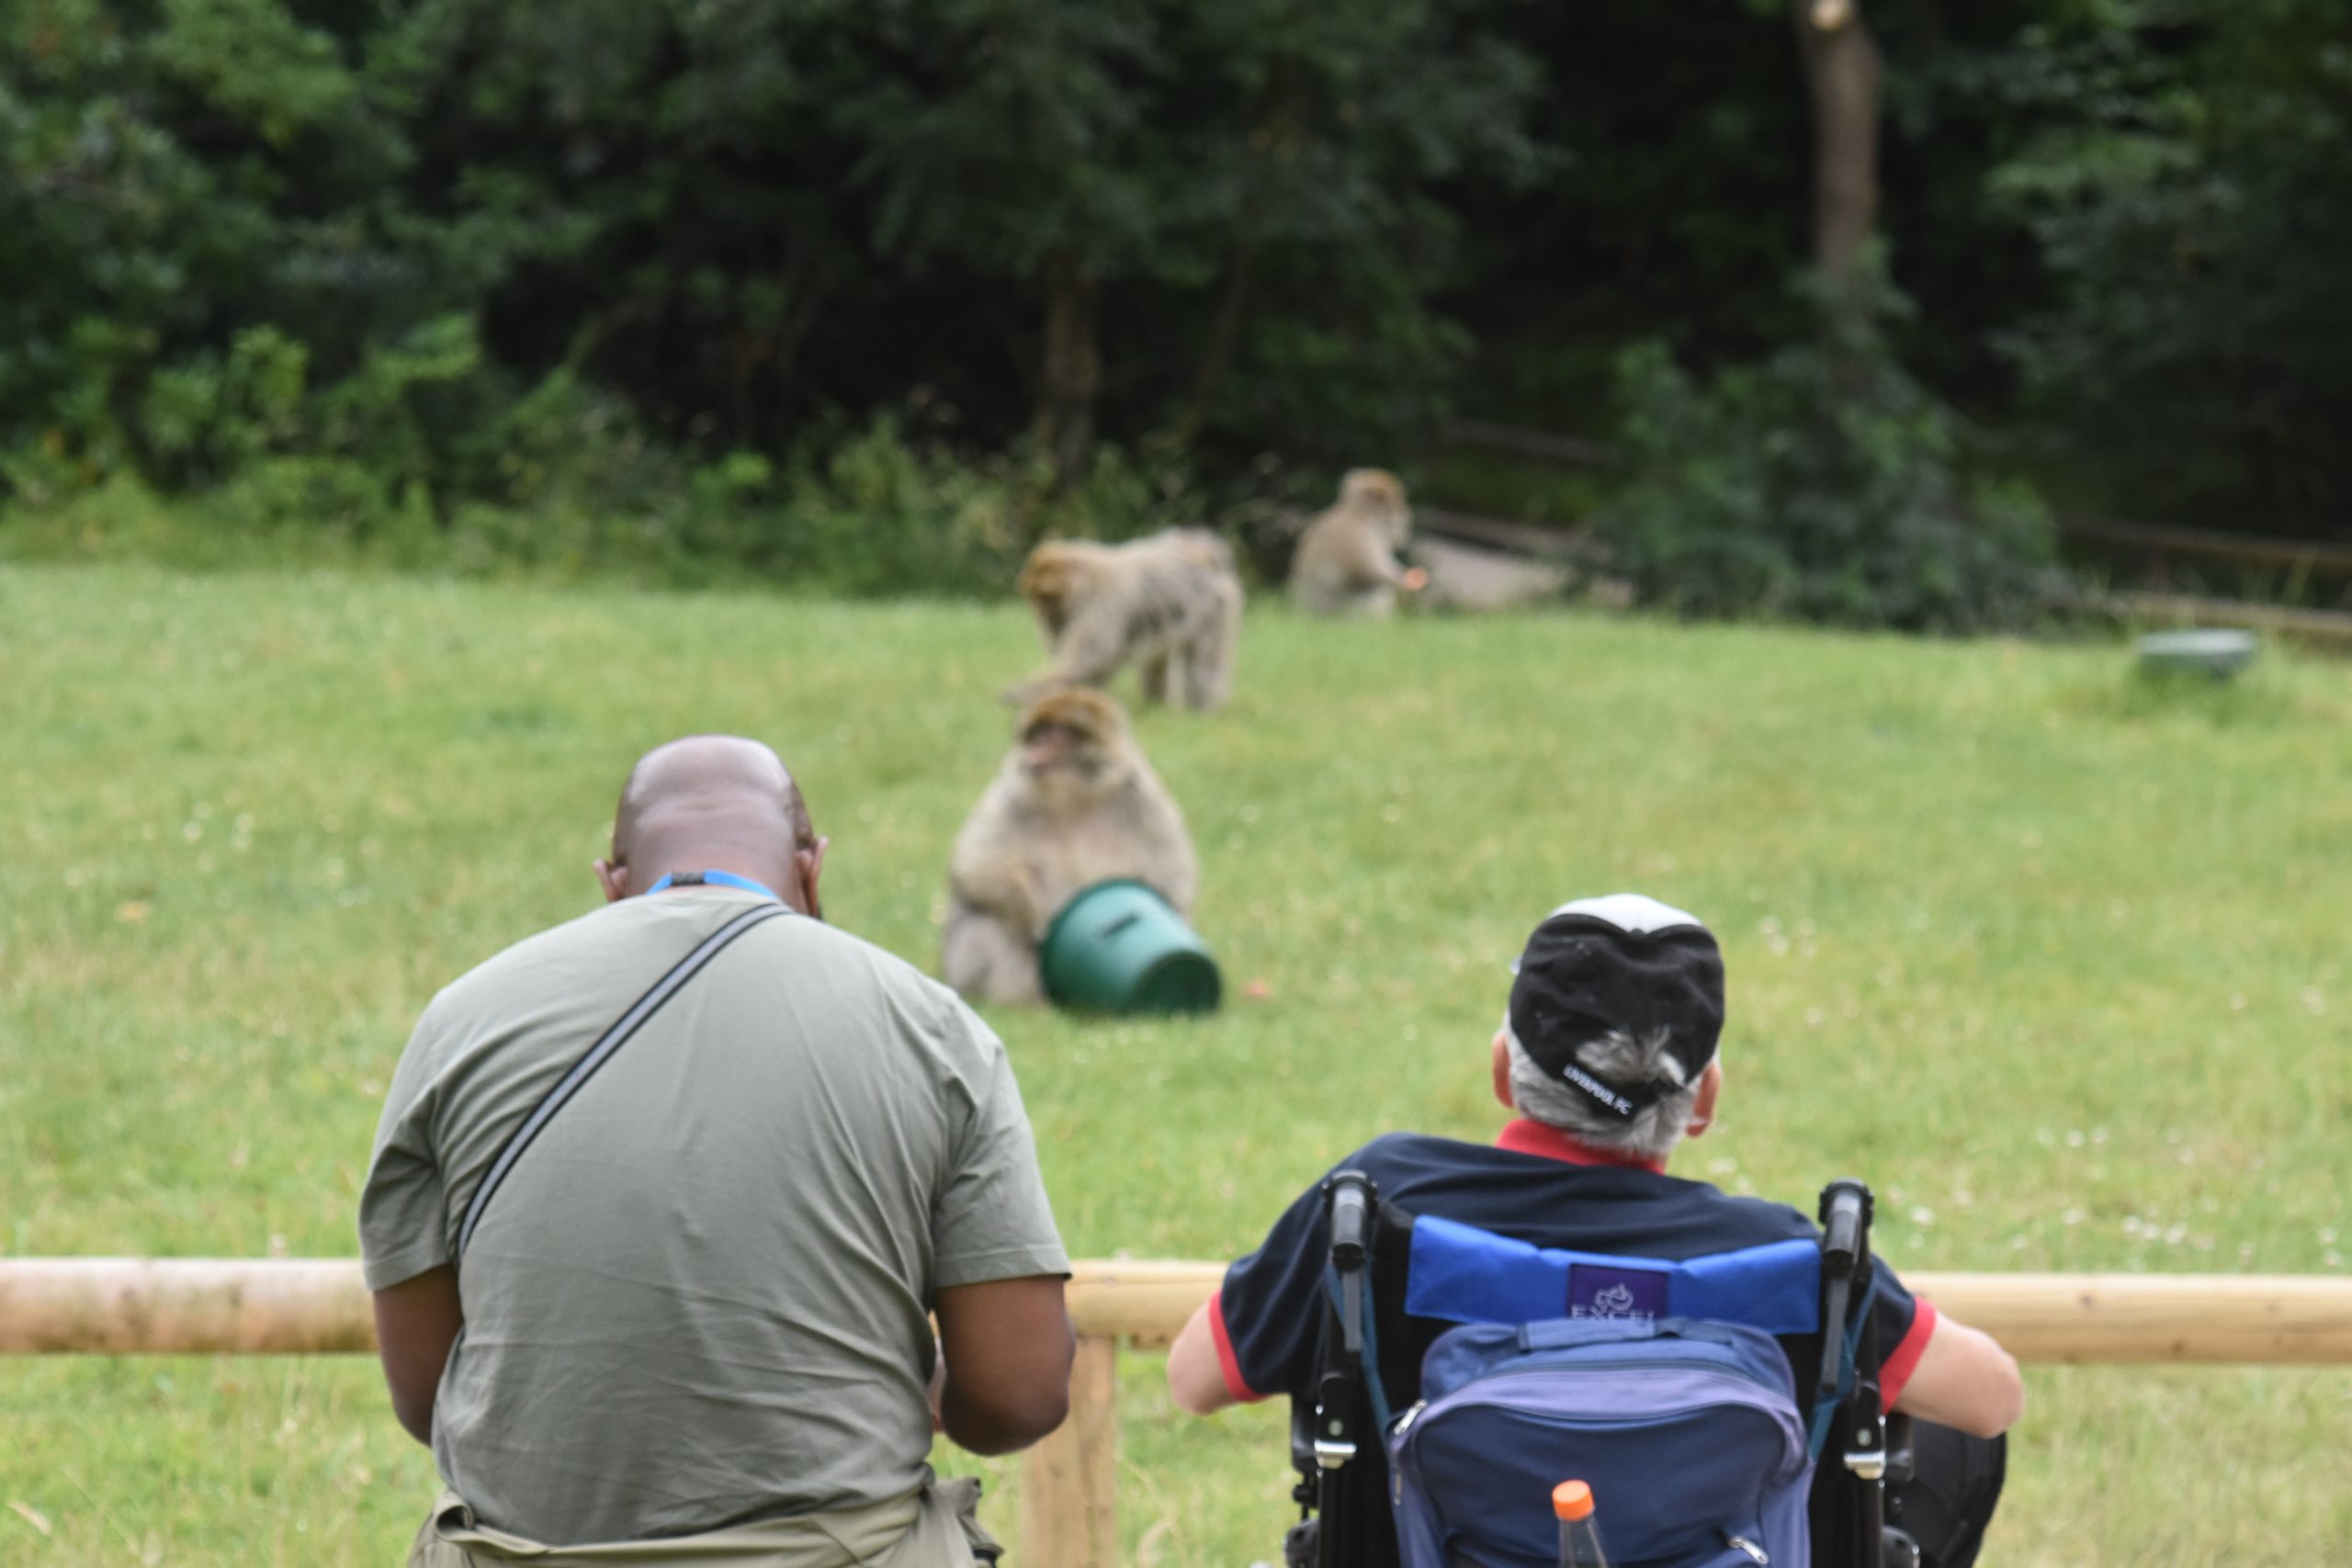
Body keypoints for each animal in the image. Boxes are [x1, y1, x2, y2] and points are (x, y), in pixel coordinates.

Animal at [941, 688, 1198, 1006]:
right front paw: (1034, 919)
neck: (1076, 798)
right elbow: (974, 866)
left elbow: (1171, 884)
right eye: (1036, 736)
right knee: (983, 917)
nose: (1034, 752)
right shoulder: (1012, 791)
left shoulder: (1143, 799)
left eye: (1057, 734)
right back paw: (1020, 1002)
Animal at [1006, 528, 1242, 712]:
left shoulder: (1101, 603)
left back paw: (1200, 709)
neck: (1087, 580)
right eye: (1035, 598)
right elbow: (1094, 663)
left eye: (1046, 597)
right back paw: (1156, 706)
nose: (1045, 616)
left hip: (1214, 611)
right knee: (1158, 659)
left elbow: (1090, 657)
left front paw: (1024, 693)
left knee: (1201, 663)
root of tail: (1209, 554)